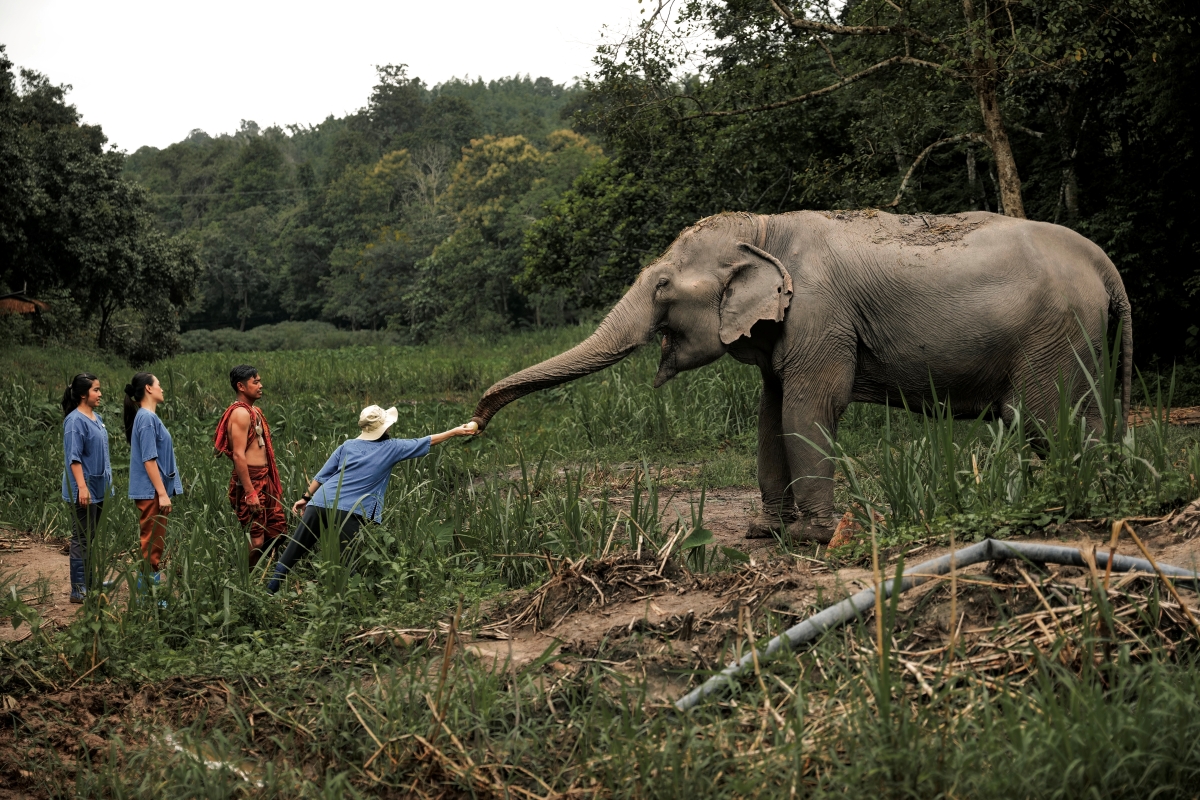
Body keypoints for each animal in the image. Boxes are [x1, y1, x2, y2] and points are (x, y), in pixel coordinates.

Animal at [470, 210, 1133, 541]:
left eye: (661, 285)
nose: (473, 423)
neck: (764, 229)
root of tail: (1106, 265)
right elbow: (772, 410)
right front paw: (767, 532)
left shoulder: (821, 312)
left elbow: (810, 407)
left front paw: (815, 537)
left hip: (1054, 335)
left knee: (1047, 420)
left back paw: (1077, 502)